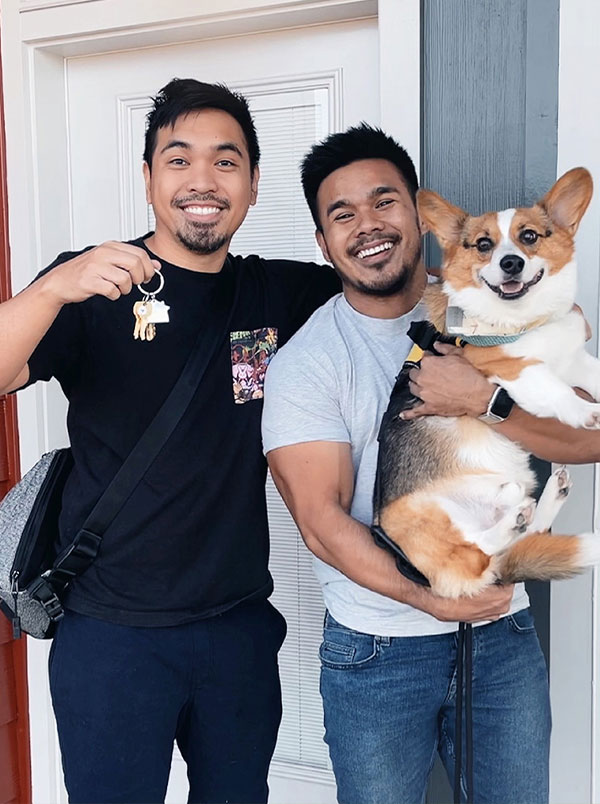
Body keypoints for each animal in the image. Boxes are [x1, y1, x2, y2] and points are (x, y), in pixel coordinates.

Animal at [372, 168, 600, 596]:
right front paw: (587, 413)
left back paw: (540, 501)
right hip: (424, 514)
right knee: (478, 550)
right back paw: (511, 517)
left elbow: (589, 374)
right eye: (483, 245)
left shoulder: (575, 360)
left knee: (520, 538)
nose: (511, 263)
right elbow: (554, 389)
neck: (526, 320)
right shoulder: (508, 366)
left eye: (529, 236)